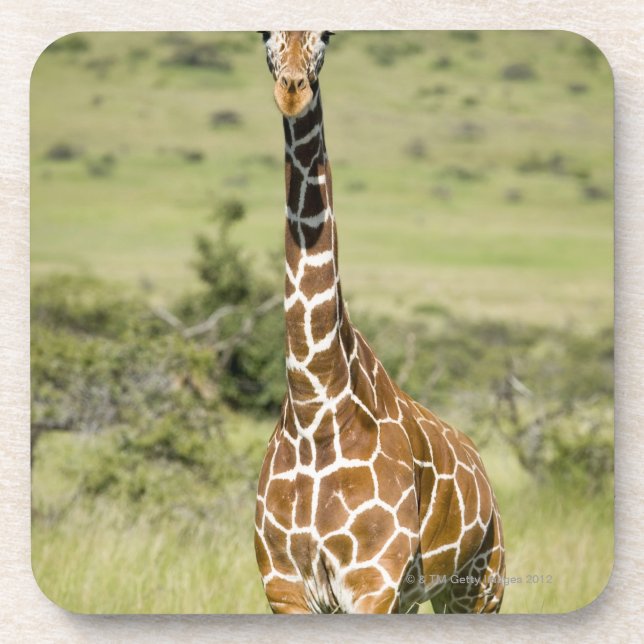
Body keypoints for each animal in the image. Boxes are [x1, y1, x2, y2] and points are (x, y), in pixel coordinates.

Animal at [254, 31, 505, 614]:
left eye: (327, 34)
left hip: (480, 586)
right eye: (262, 34)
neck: (315, 404)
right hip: (422, 596)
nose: (292, 90)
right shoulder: (285, 587)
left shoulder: (372, 582)